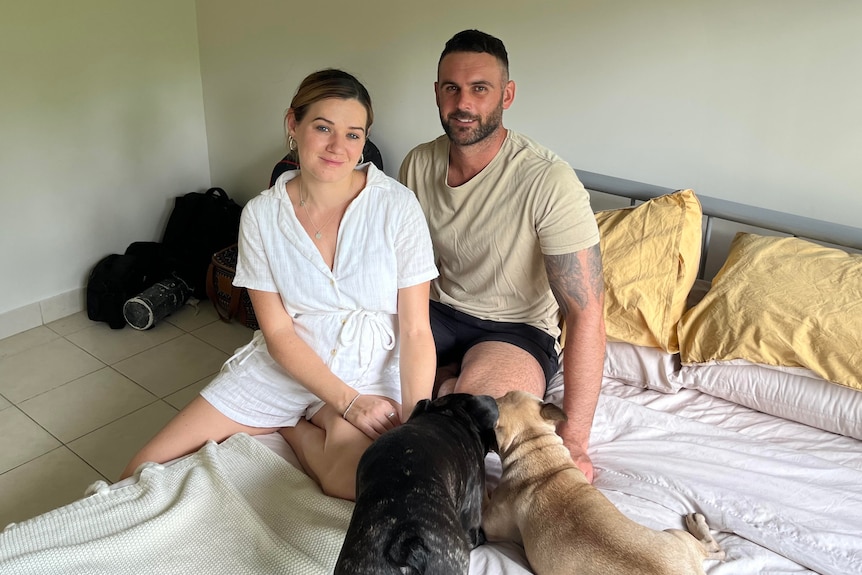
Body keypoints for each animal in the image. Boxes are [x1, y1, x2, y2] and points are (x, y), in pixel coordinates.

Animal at [482, 392, 724, 575]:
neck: (536, 447)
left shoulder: (490, 523)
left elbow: (485, 496)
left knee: (713, 549)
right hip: (675, 536)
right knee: (715, 551)